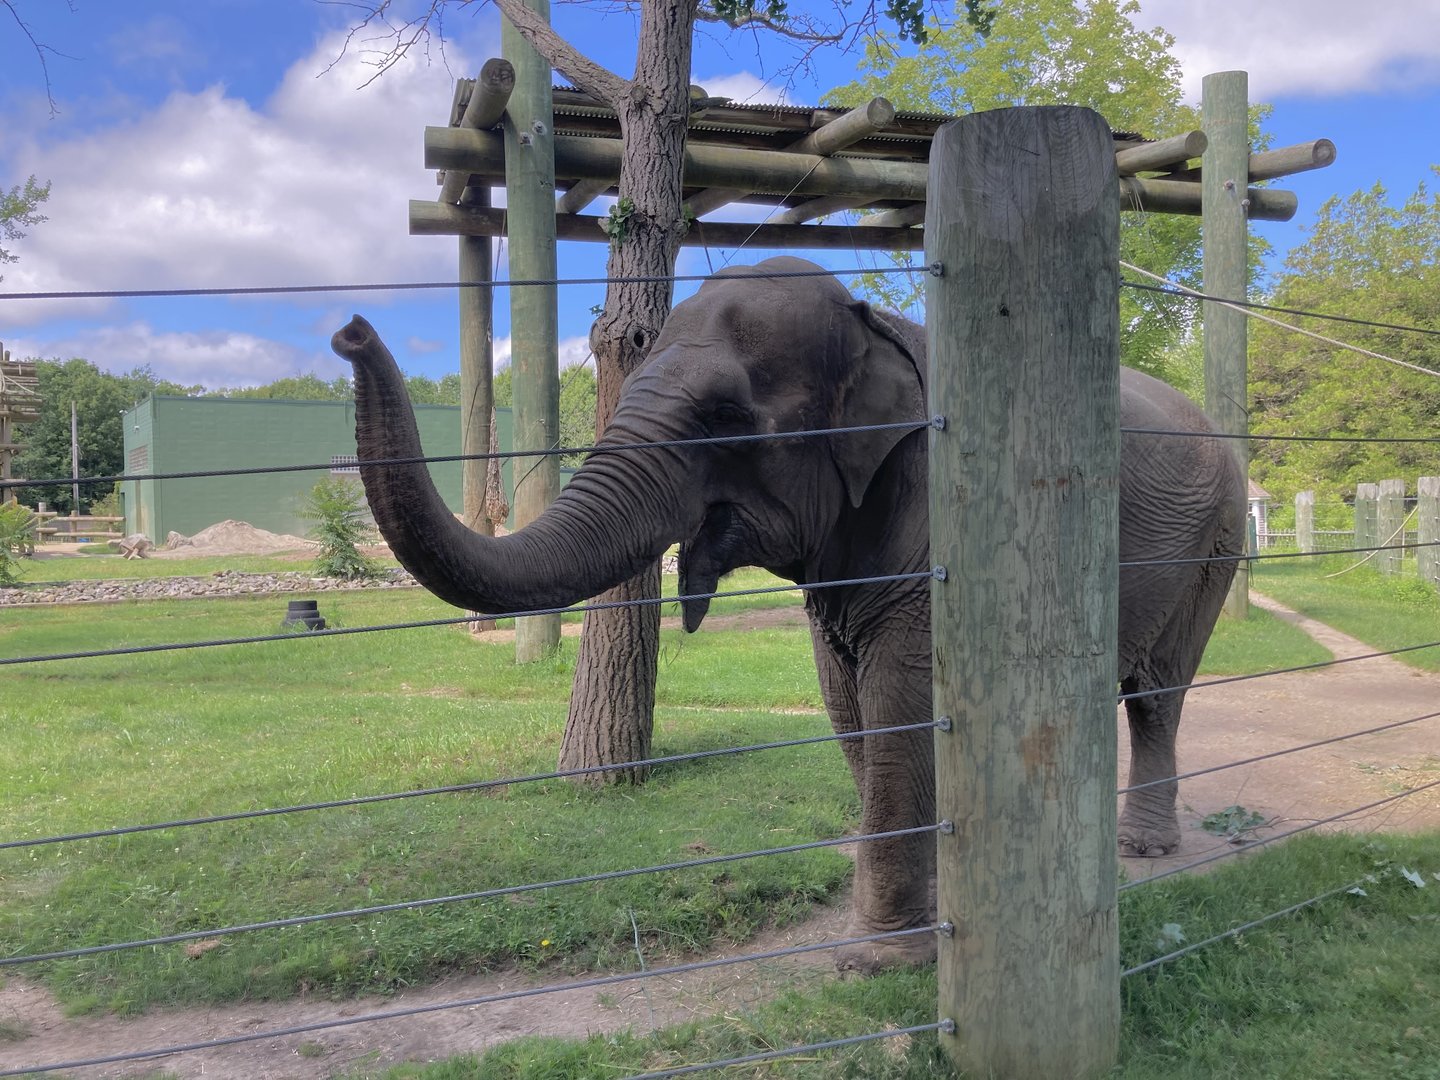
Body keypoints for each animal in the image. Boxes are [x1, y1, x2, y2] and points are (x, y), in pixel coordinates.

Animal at [331, 255, 1246, 975]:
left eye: (726, 419)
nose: (349, 331)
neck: (875, 328)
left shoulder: (935, 514)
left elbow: (899, 696)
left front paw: (880, 963)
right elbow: (847, 701)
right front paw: (929, 916)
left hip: (1218, 539)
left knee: (1156, 694)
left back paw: (1141, 850)